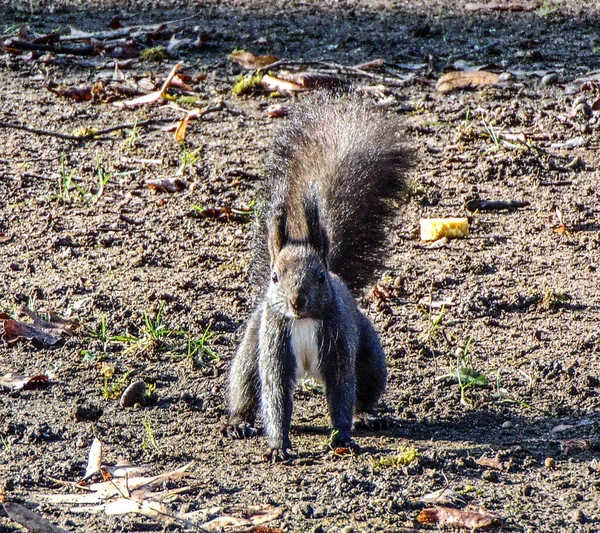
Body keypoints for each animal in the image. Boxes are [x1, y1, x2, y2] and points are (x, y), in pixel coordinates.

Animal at [221, 93, 408, 460]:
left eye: (320, 277)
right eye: (275, 278)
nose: (297, 300)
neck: (304, 320)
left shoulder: (339, 344)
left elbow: (341, 391)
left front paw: (342, 439)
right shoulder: (274, 342)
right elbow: (276, 394)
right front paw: (278, 445)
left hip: (370, 357)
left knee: (363, 389)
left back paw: (368, 416)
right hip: (251, 348)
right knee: (245, 384)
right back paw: (238, 422)